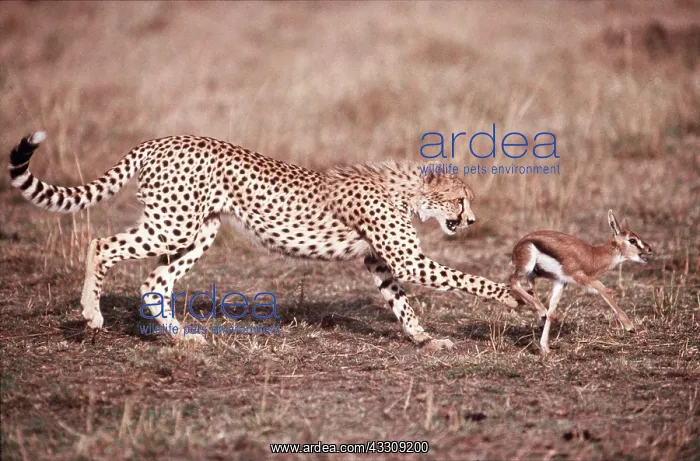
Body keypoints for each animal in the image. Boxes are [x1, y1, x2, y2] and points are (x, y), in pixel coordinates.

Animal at [9, 131, 520, 349]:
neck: (407, 191)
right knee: (101, 244)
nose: (472, 220)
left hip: (200, 230)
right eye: (459, 200)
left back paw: (182, 337)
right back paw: (92, 313)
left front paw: (423, 337)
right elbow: (466, 279)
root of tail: (161, 140)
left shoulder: (379, 260)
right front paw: (515, 296)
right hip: (174, 223)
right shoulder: (407, 259)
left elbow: (401, 301)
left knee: (154, 280)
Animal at [510, 210, 653, 354]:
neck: (593, 256)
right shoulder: (580, 277)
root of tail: (519, 244)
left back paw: (540, 317)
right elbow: (604, 290)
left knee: (531, 288)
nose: (649, 249)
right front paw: (630, 327)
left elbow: (552, 310)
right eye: (632, 240)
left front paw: (545, 347)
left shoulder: (561, 281)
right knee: (513, 282)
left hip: (532, 273)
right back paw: (540, 311)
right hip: (526, 268)